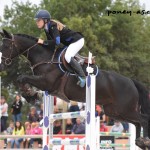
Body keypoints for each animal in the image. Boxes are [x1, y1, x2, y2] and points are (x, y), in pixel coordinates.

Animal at [0, 29, 150, 149]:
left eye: (6, 46)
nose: (1, 65)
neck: (45, 58)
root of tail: (131, 81)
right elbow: (21, 79)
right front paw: (30, 95)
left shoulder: (46, 82)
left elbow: (22, 77)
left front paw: (30, 95)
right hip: (115, 111)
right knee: (137, 123)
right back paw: (140, 142)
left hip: (125, 109)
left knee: (143, 120)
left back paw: (145, 141)